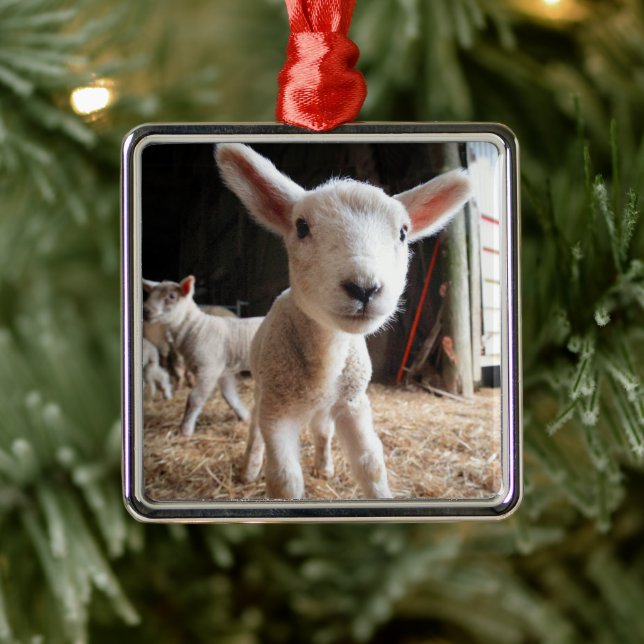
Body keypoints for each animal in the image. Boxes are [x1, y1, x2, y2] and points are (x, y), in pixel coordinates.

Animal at [142, 276, 264, 436]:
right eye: (150, 294)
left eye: (172, 296)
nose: (145, 311)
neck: (196, 328)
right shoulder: (222, 371)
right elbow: (229, 395)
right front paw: (245, 417)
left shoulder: (209, 369)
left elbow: (195, 399)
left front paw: (185, 430)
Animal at [215, 143, 471, 499]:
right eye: (301, 227)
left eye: (403, 233)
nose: (364, 287)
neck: (328, 354)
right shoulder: (277, 411)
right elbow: (285, 479)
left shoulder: (353, 402)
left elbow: (370, 464)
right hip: (263, 391)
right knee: (254, 428)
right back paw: (249, 468)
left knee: (322, 430)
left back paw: (323, 466)